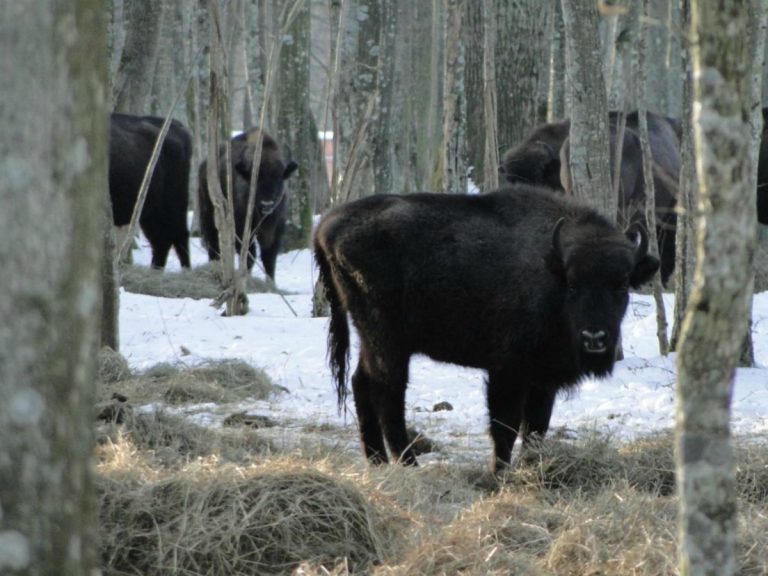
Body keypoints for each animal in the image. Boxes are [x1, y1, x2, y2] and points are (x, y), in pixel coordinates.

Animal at [200, 128, 298, 282]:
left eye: (279, 178)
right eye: (255, 179)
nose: (267, 204)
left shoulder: (276, 228)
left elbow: (269, 258)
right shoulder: (242, 228)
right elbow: (249, 255)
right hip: (209, 218)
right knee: (214, 246)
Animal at [314, 187, 660, 470]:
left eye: (622, 285)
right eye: (573, 285)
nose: (594, 337)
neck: (552, 271)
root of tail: (326, 227)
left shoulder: (542, 379)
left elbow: (536, 428)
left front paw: (531, 468)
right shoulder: (508, 372)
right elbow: (505, 425)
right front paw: (500, 472)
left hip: (371, 338)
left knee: (361, 383)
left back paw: (378, 461)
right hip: (388, 341)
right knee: (388, 391)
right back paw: (408, 463)